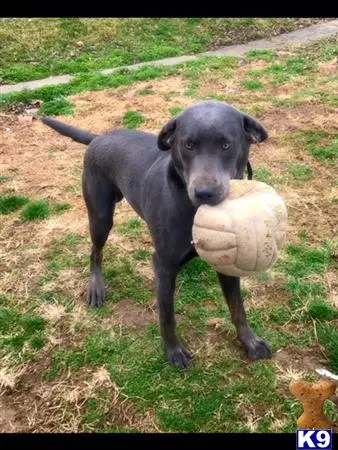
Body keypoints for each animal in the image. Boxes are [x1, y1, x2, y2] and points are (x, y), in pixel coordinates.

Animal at [41, 100, 272, 368]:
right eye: (188, 145)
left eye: (226, 145)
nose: (204, 193)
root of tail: (99, 137)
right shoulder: (163, 265)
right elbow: (167, 314)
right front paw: (173, 350)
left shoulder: (225, 262)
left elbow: (238, 308)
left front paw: (250, 341)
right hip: (100, 217)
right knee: (95, 251)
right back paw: (96, 285)